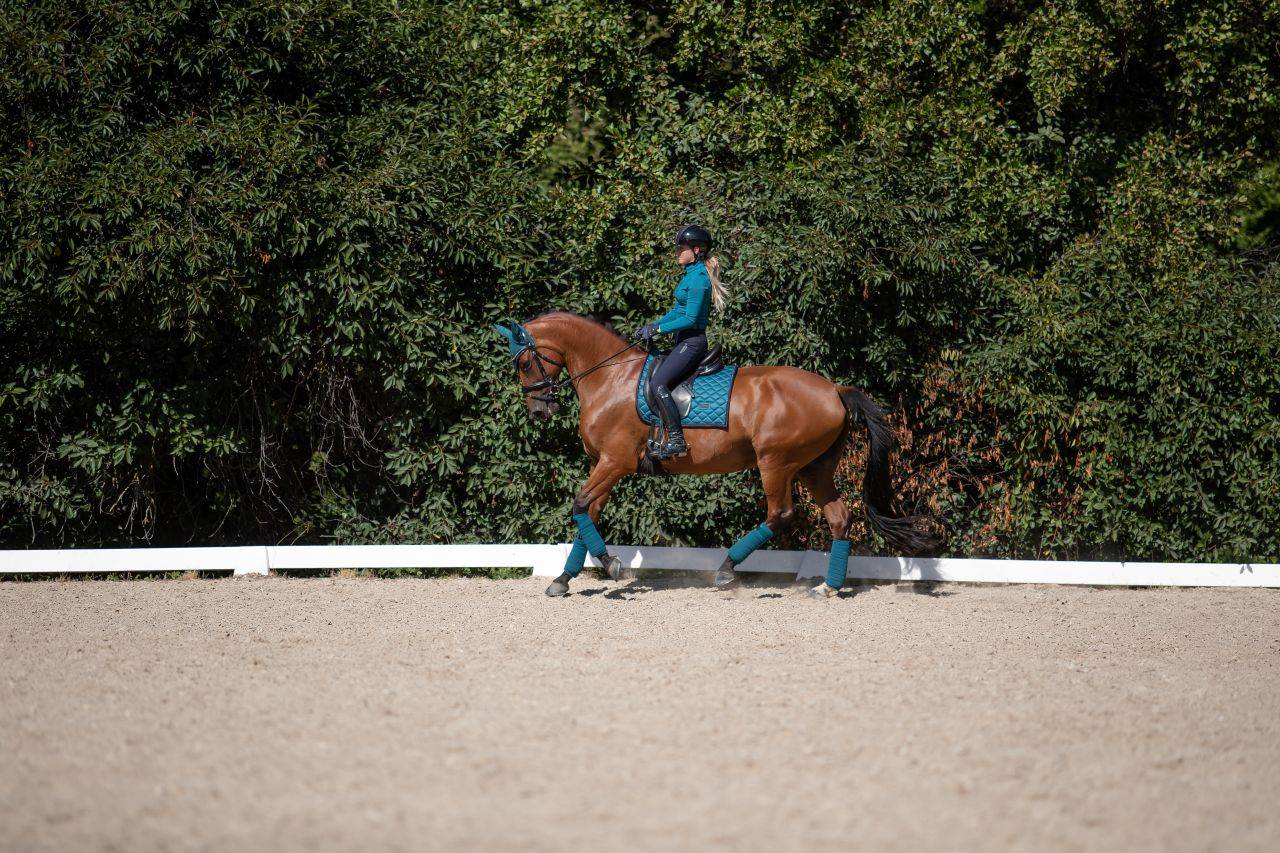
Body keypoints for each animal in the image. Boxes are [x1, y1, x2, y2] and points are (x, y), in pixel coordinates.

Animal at [494, 308, 936, 594]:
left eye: (524, 364)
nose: (539, 410)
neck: (610, 379)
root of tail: (834, 390)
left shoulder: (615, 462)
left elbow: (581, 504)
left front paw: (611, 565)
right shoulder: (603, 463)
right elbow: (588, 511)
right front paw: (563, 579)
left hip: (776, 462)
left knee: (780, 514)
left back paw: (726, 570)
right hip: (815, 468)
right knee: (840, 518)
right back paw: (827, 587)